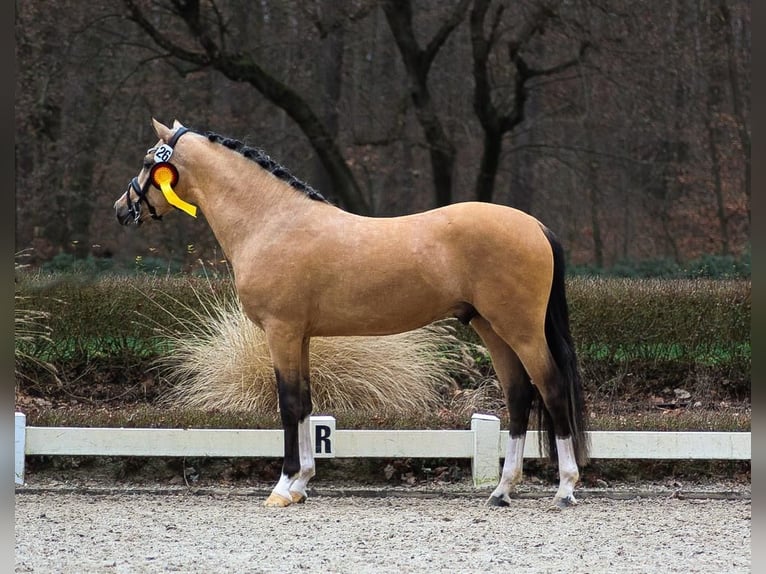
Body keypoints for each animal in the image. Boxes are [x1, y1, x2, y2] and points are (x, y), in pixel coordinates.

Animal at [114, 119, 592, 510]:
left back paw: (565, 489)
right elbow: (306, 403)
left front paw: (282, 488)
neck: (273, 222)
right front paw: (302, 485)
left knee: (551, 388)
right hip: (492, 328)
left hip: (521, 330)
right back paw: (501, 491)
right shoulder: (301, 336)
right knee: (519, 395)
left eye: (148, 162)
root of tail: (535, 226)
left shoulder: (281, 332)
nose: (122, 209)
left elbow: (288, 404)